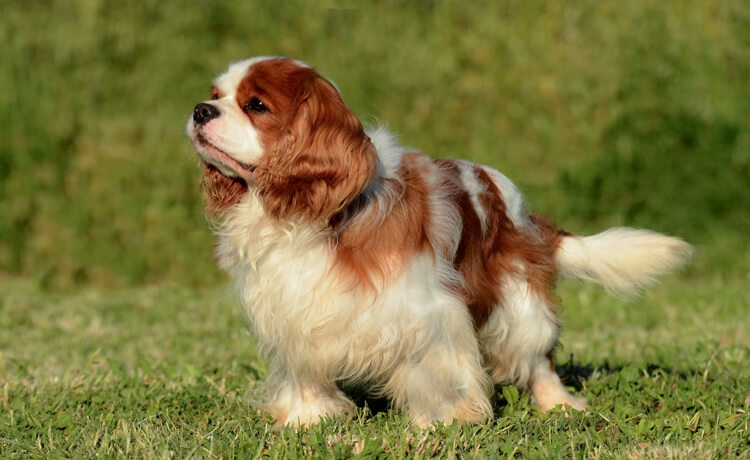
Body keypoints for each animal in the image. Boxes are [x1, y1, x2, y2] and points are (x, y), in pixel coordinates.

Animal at [187, 57, 692, 428]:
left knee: (539, 358)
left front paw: (447, 420)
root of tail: (522, 212)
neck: (315, 216)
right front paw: (306, 417)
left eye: (255, 105)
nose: (200, 110)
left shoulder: (427, 309)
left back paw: (560, 405)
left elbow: (439, 366)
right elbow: (304, 367)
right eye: (216, 95)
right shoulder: (292, 309)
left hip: (516, 302)